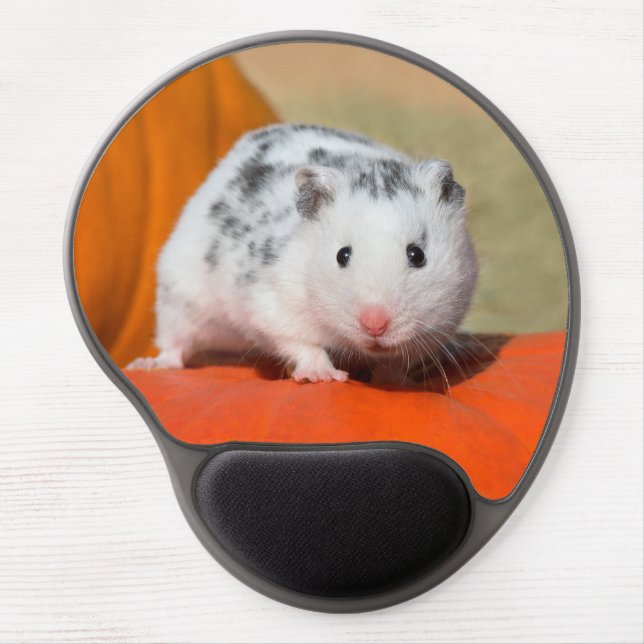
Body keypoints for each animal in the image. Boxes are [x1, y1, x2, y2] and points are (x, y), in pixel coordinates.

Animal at [127, 124, 478, 385]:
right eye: (342, 256)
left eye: (417, 255)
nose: (375, 326)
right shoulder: (274, 307)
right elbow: (303, 344)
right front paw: (323, 376)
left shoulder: (442, 322)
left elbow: (396, 364)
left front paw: (394, 381)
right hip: (180, 298)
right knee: (174, 345)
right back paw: (146, 365)